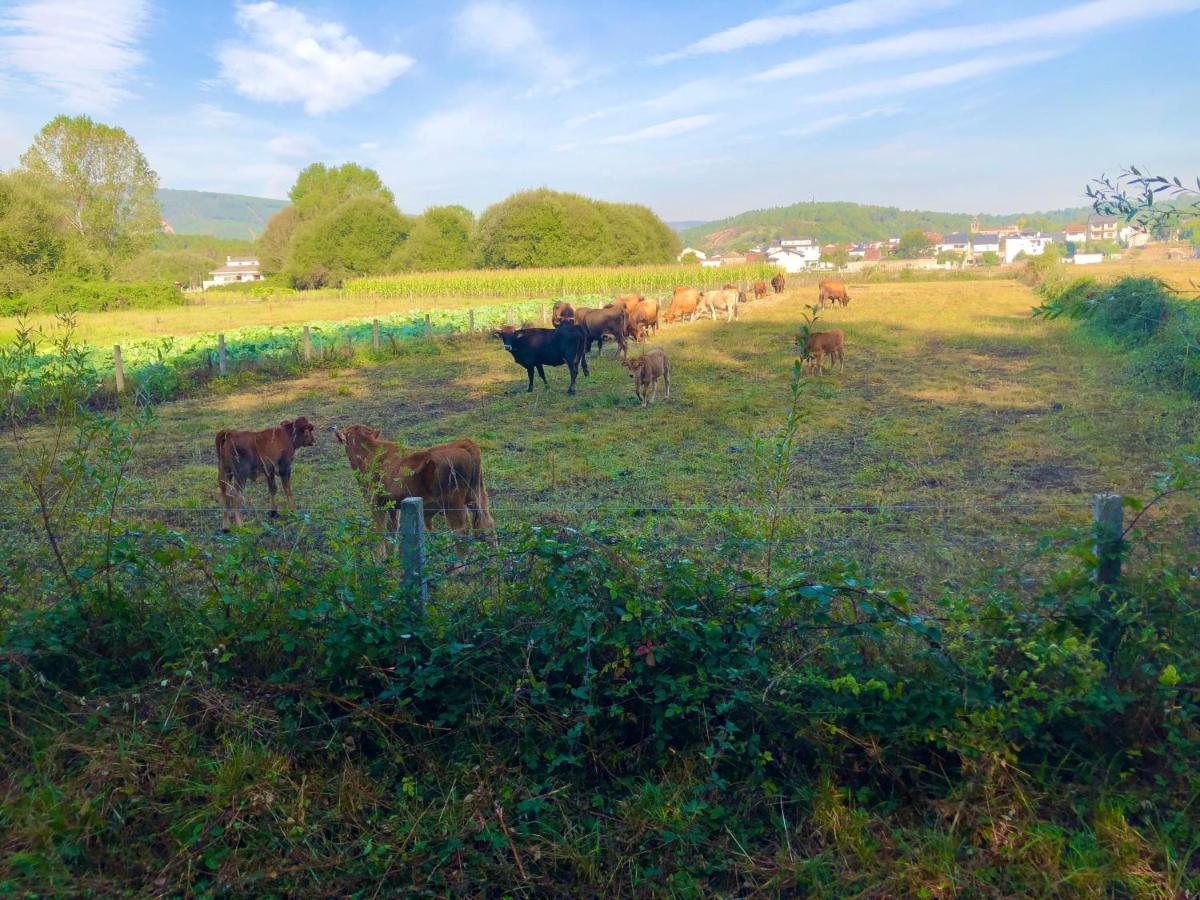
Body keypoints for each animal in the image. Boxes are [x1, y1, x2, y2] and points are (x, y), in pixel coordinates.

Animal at [333, 427, 496, 547]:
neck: (370, 452)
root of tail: (461, 444)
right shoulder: (392, 507)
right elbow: (392, 534)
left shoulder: (376, 505)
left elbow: (380, 534)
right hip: (477, 497)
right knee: (487, 524)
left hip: (453, 506)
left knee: (460, 532)